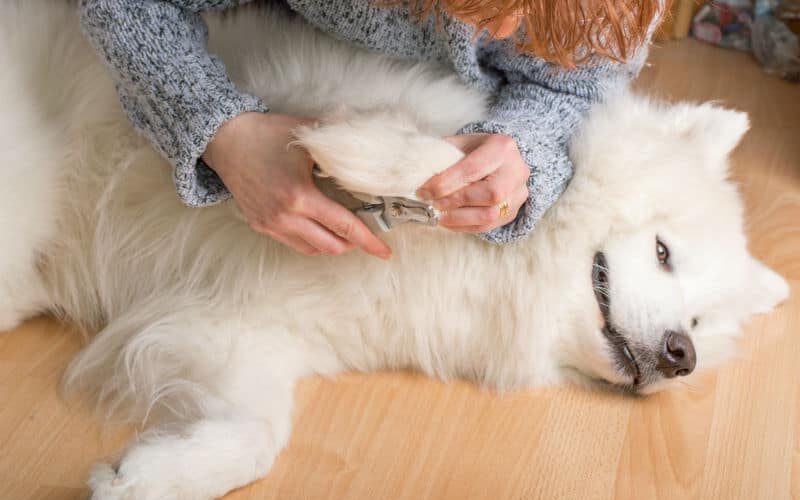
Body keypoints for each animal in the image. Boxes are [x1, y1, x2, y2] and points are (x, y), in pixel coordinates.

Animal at [0, 1, 788, 498]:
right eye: (663, 252)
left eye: (700, 324)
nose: (681, 358)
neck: (500, 274)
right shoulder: (302, 83)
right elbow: (424, 149)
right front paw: (367, 155)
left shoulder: (247, 332)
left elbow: (256, 435)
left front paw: (145, 476)